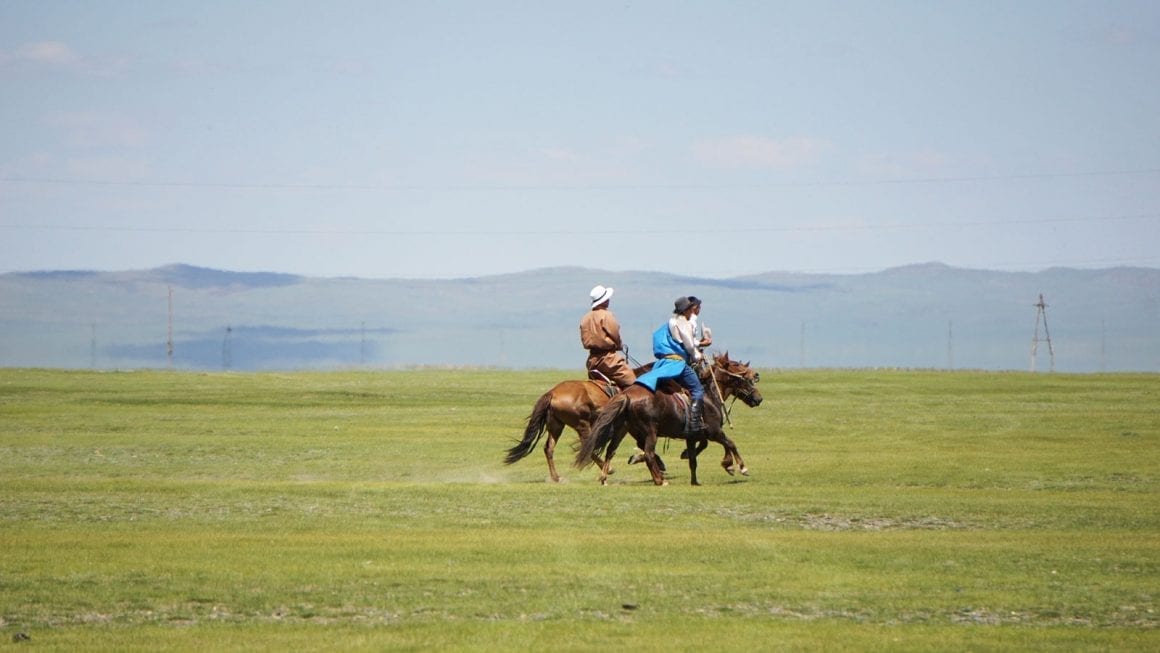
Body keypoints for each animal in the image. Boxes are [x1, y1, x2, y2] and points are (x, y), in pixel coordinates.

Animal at [575, 352, 765, 484]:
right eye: (737, 366)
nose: (758, 398)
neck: (709, 396)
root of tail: (627, 395)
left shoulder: (693, 436)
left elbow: (695, 458)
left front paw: (694, 478)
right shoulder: (714, 432)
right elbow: (730, 443)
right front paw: (738, 467)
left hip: (622, 429)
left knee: (610, 451)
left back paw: (604, 477)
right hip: (649, 431)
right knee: (648, 453)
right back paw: (660, 480)